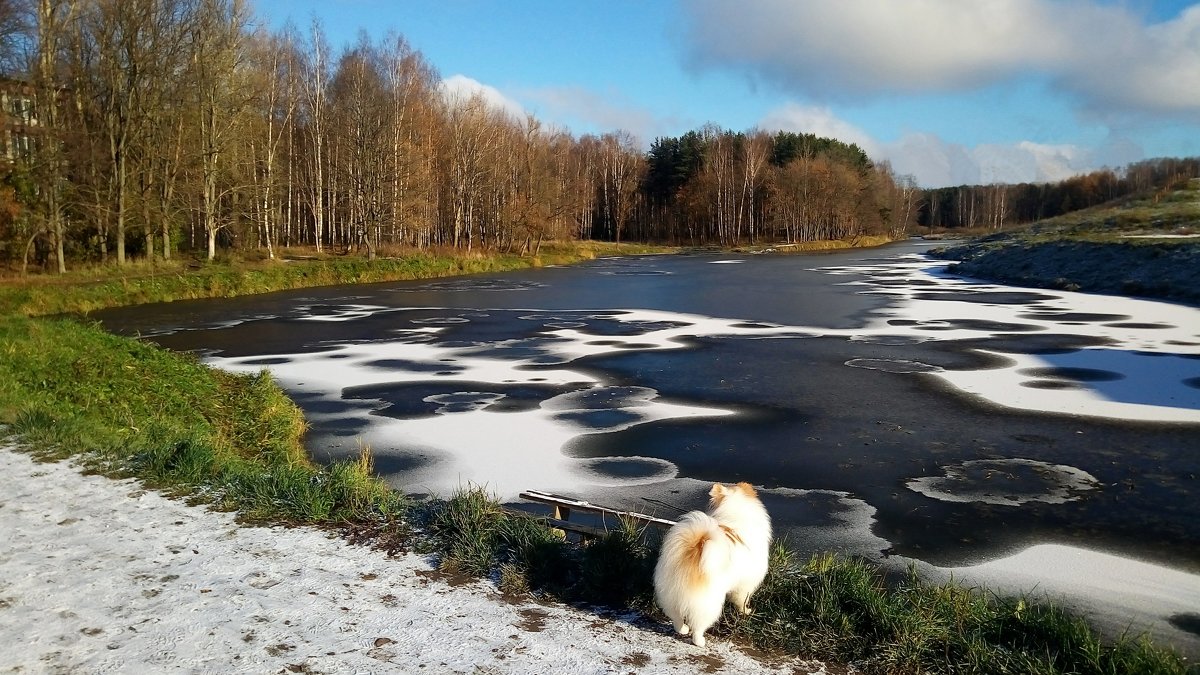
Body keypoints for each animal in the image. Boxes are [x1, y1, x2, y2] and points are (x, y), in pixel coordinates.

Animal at [652, 480, 772, 643]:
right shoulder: (745, 584)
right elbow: (741, 600)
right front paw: (746, 611)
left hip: (670, 595)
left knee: (676, 617)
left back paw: (683, 629)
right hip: (707, 604)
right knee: (698, 625)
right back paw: (699, 641)